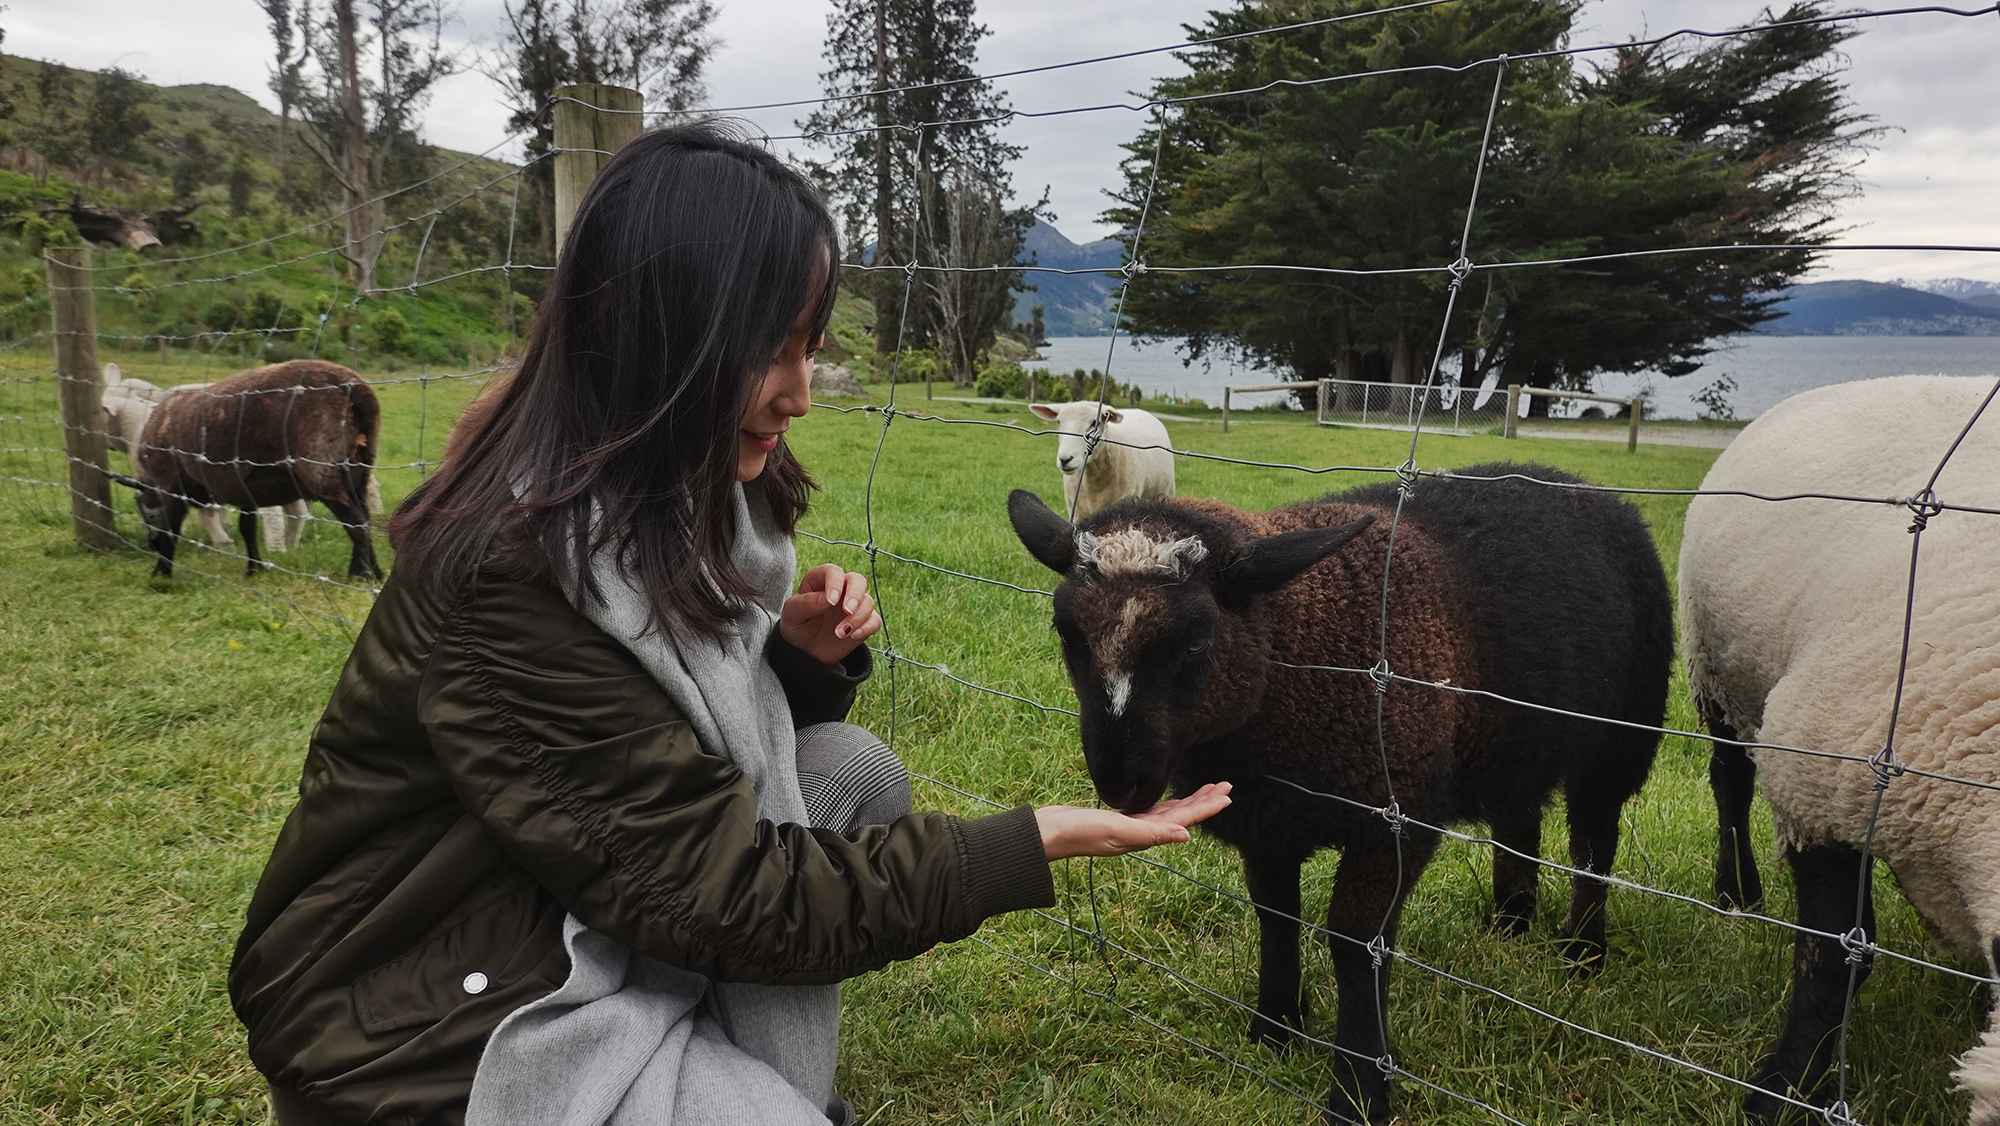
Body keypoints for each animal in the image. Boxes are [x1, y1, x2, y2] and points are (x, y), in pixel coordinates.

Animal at [113, 362, 382, 580]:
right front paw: (254, 569)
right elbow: (247, 528)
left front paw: (161, 574)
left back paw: (367, 575)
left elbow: (173, 529)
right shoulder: (244, 487)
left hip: (322, 470)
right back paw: (367, 572)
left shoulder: (172, 485)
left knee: (356, 523)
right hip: (358, 472)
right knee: (365, 519)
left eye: (148, 515)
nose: (151, 545)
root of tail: (357, 392)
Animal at [1680, 374, 2000, 1120]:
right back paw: (1736, 892)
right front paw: (1781, 1089)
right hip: (1718, 670)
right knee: (1729, 779)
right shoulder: (1817, 780)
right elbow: (1831, 959)